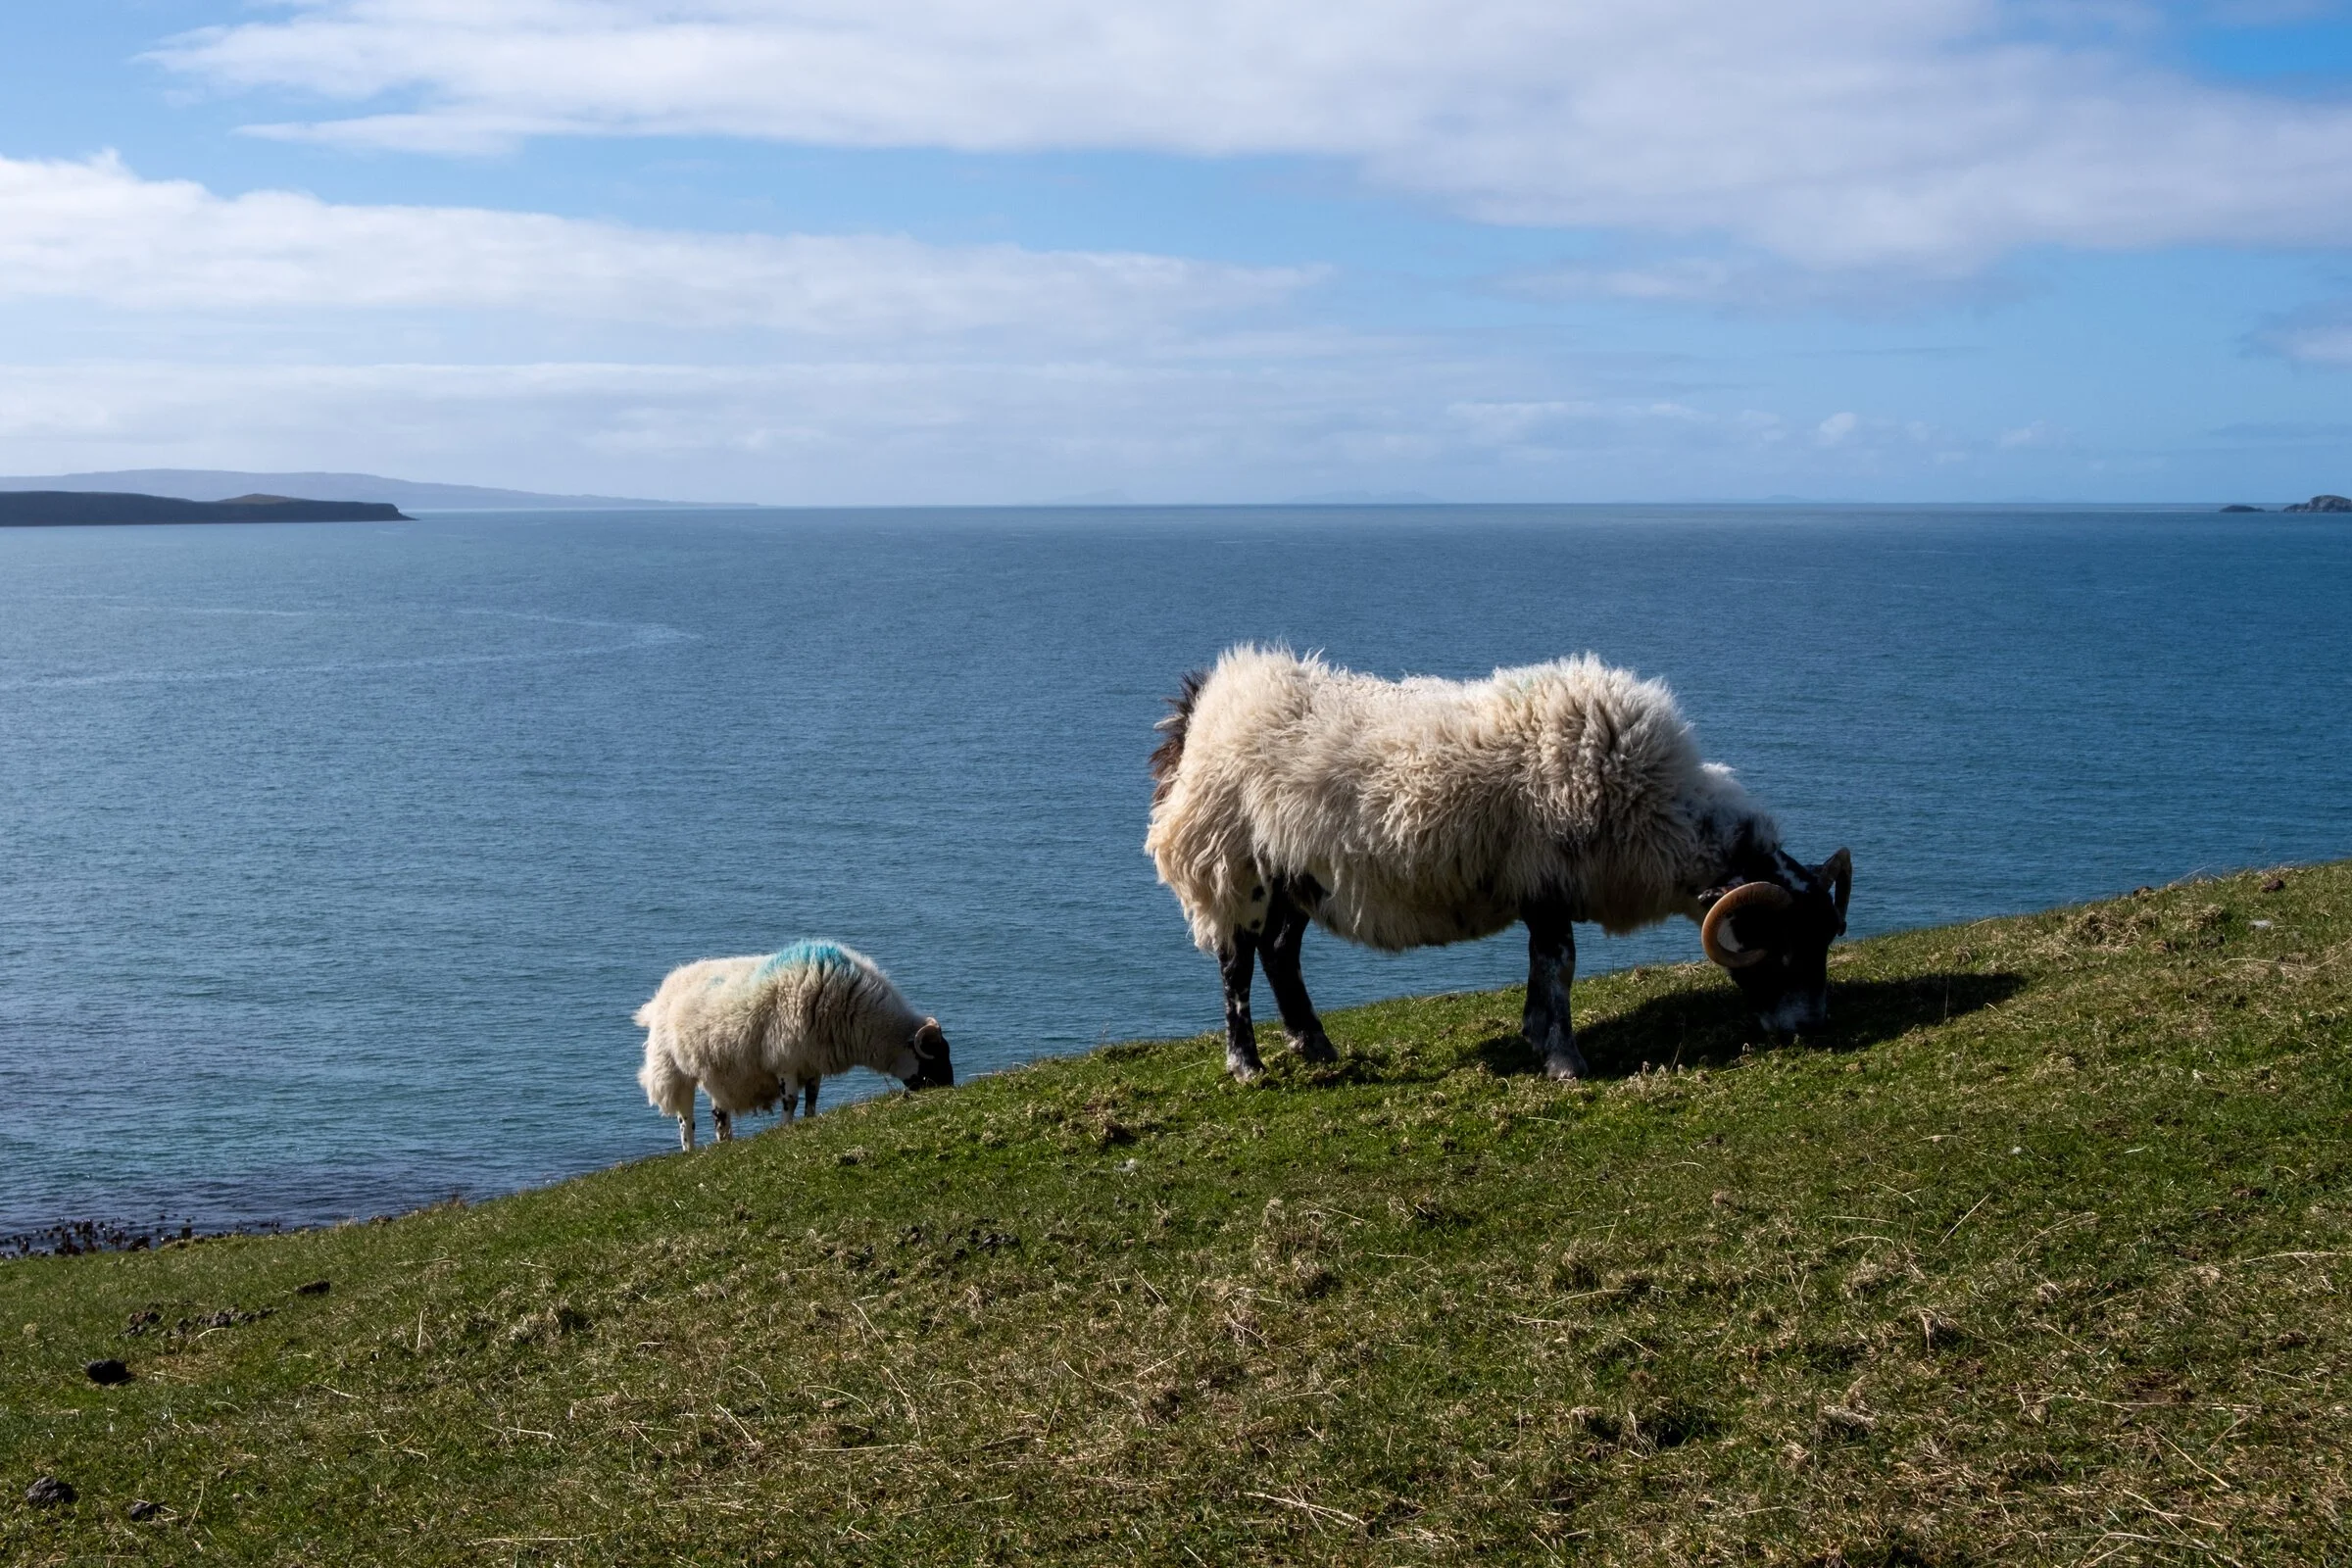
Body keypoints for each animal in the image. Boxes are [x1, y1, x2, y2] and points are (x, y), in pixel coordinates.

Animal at [635, 941, 953, 1149]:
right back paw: (689, 1150)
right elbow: (791, 1099)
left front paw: (808, 1123)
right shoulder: (784, 1059)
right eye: (935, 1059)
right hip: (673, 1070)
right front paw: (785, 1128)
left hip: (717, 1071)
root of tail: (664, 990)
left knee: (719, 1114)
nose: (949, 1089)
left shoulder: (812, 1062)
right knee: (684, 1116)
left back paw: (725, 1144)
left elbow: (811, 1098)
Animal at [1145, 646, 1852, 1081]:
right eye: (1782, 946)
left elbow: (1548, 967)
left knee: (1279, 954)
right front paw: (1566, 1062)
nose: (1812, 1029)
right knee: (1237, 963)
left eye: (1826, 938)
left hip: (1297, 875)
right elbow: (1560, 963)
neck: (1656, 807)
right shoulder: (1547, 877)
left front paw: (1540, 1038)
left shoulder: (1544, 886)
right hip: (1234, 865)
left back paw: (1314, 1045)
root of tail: (1207, 701)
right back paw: (1247, 1064)